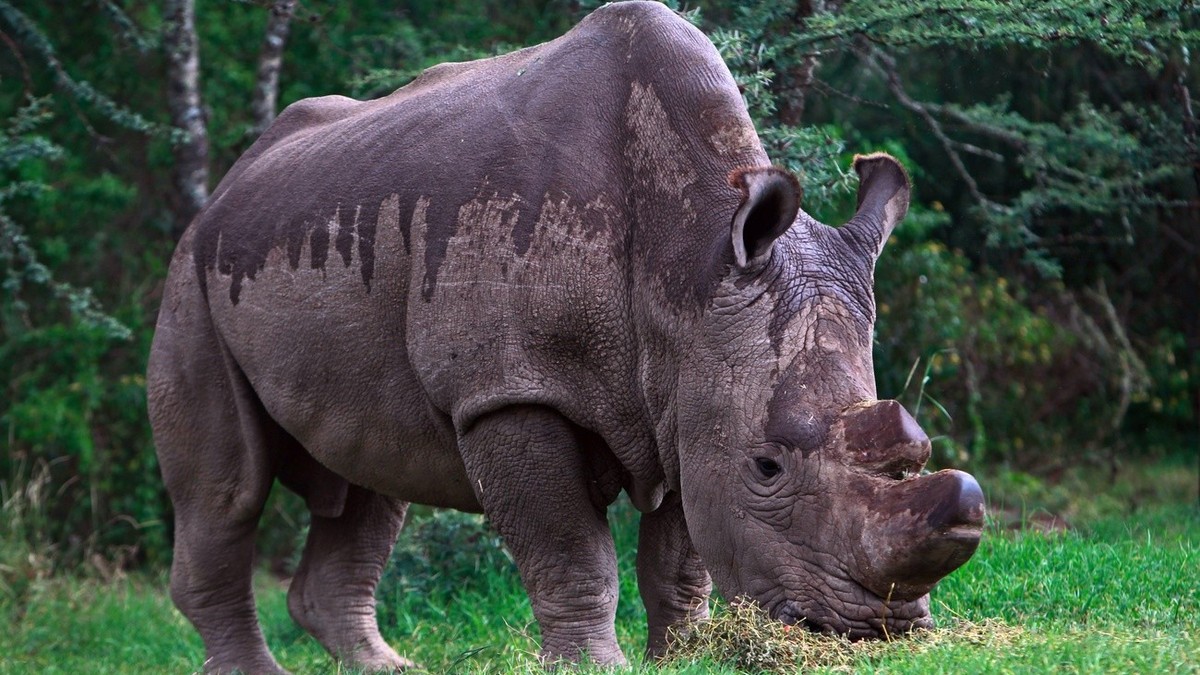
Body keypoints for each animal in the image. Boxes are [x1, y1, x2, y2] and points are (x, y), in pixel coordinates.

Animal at [147, 2, 984, 672]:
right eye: (768, 466)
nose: (870, 630)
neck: (691, 252)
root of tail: (229, 182)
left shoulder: (689, 382)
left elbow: (680, 553)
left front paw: (684, 656)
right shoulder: (512, 387)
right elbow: (571, 547)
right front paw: (595, 665)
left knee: (373, 471)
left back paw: (387, 666)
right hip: (190, 276)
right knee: (229, 489)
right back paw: (256, 667)